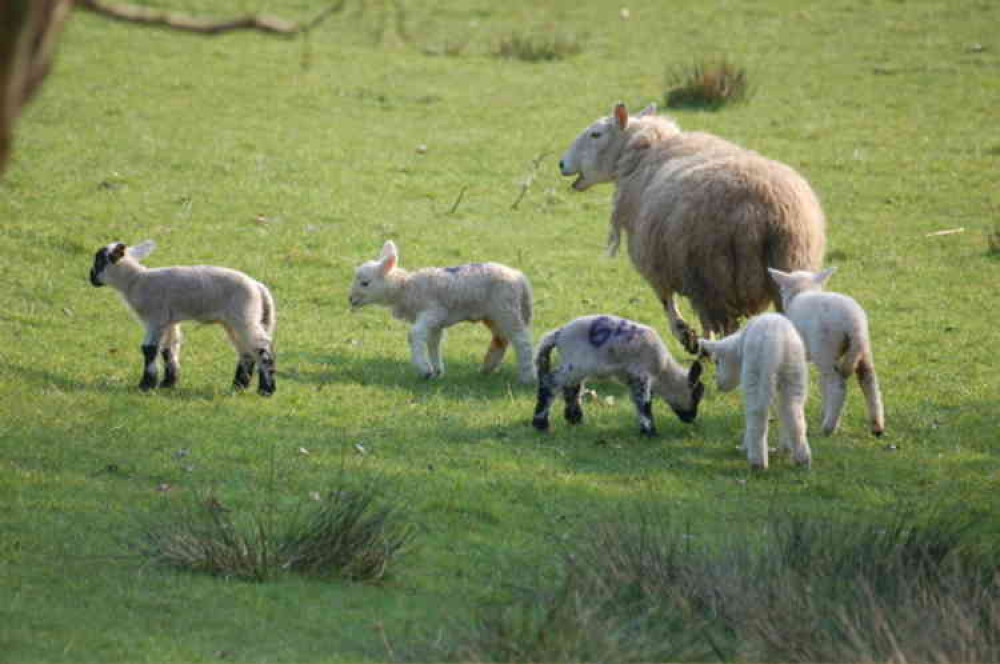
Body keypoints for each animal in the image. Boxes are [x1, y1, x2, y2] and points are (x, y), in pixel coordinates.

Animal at [89, 239, 278, 394]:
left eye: (99, 260)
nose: (91, 277)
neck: (135, 280)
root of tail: (258, 287)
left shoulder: (155, 317)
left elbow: (149, 349)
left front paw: (146, 385)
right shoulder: (168, 320)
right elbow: (169, 348)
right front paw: (168, 383)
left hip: (244, 315)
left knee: (262, 349)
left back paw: (266, 390)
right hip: (235, 320)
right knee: (246, 352)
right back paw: (239, 386)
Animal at [532, 316, 704, 436]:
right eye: (697, 395)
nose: (691, 418)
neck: (662, 371)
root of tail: (559, 334)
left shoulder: (632, 378)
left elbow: (639, 402)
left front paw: (645, 429)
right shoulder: (641, 374)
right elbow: (644, 403)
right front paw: (650, 432)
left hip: (576, 366)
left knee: (571, 389)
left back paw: (575, 418)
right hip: (575, 363)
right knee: (551, 382)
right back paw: (541, 423)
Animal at [560, 102, 824, 356]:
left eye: (595, 134)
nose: (561, 163)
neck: (643, 152)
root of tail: (762, 208)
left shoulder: (655, 262)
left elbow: (668, 303)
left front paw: (688, 338)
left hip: (711, 274)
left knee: (722, 324)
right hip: (789, 268)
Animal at [696, 314, 812, 470]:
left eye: (717, 362)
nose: (718, 385)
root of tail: (777, 344)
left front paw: (745, 447)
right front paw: (785, 448)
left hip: (756, 372)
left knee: (757, 415)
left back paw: (757, 461)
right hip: (794, 372)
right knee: (793, 413)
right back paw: (802, 459)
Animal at [768, 268, 888, 438]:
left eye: (782, 290)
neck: (804, 291)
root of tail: (853, 322)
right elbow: (822, 385)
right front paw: (824, 410)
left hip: (826, 349)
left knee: (838, 387)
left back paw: (829, 427)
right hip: (861, 349)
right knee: (869, 382)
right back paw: (877, 425)